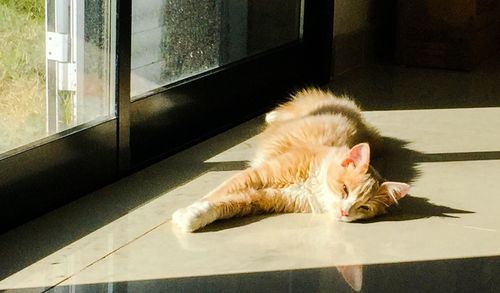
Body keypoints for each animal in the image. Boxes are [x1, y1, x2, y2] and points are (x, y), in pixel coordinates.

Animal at [172, 88, 410, 232]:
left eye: (364, 207)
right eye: (344, 189)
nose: (344, 212)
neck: (314, 185)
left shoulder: (264, 197)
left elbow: (225, 203)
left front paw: (190, 217)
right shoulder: (258, 175)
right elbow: (215, 194)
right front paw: (187, 212)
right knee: (283, 111)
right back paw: (271, 116)